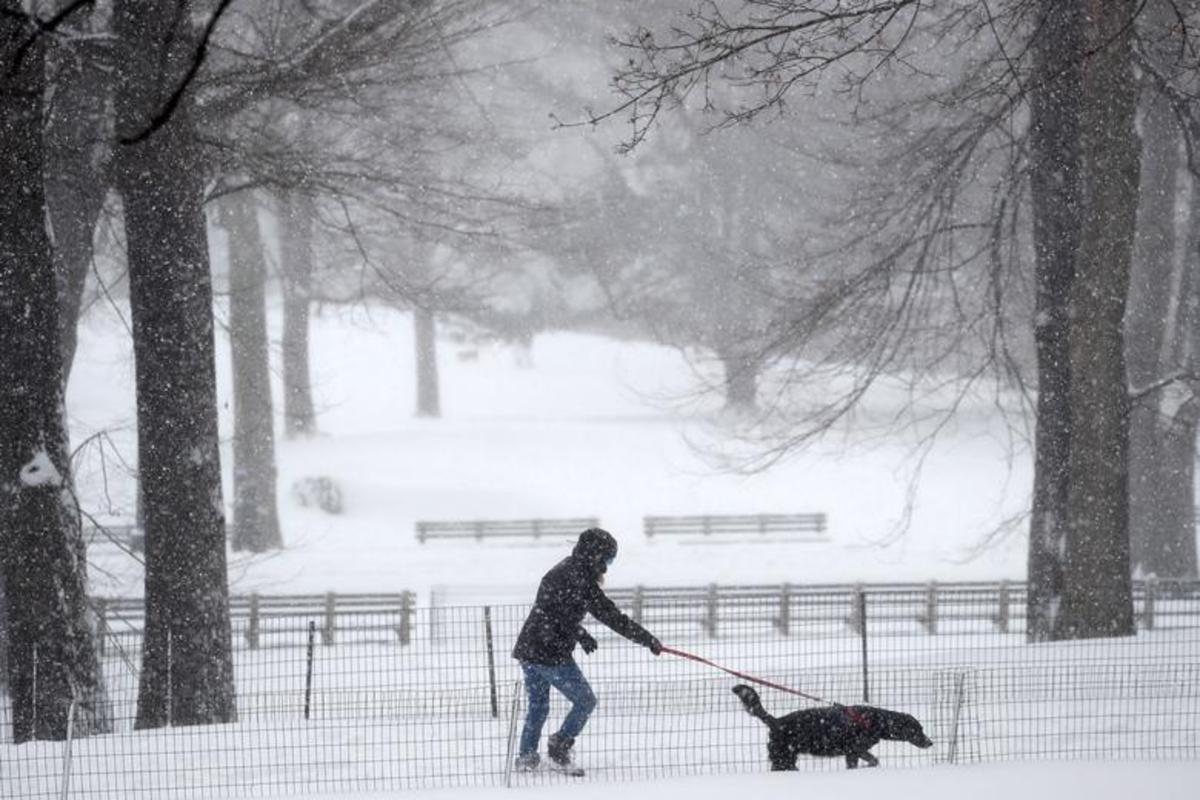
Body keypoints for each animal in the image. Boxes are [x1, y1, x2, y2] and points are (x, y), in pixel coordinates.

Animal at [729, 681, 936, 767]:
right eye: (918, 729)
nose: (930, 743)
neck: (874, 720)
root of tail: (776, 722)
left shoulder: (853, 753)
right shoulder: (854, 749)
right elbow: (873, 760)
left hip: (786, 756)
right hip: (783, 756)